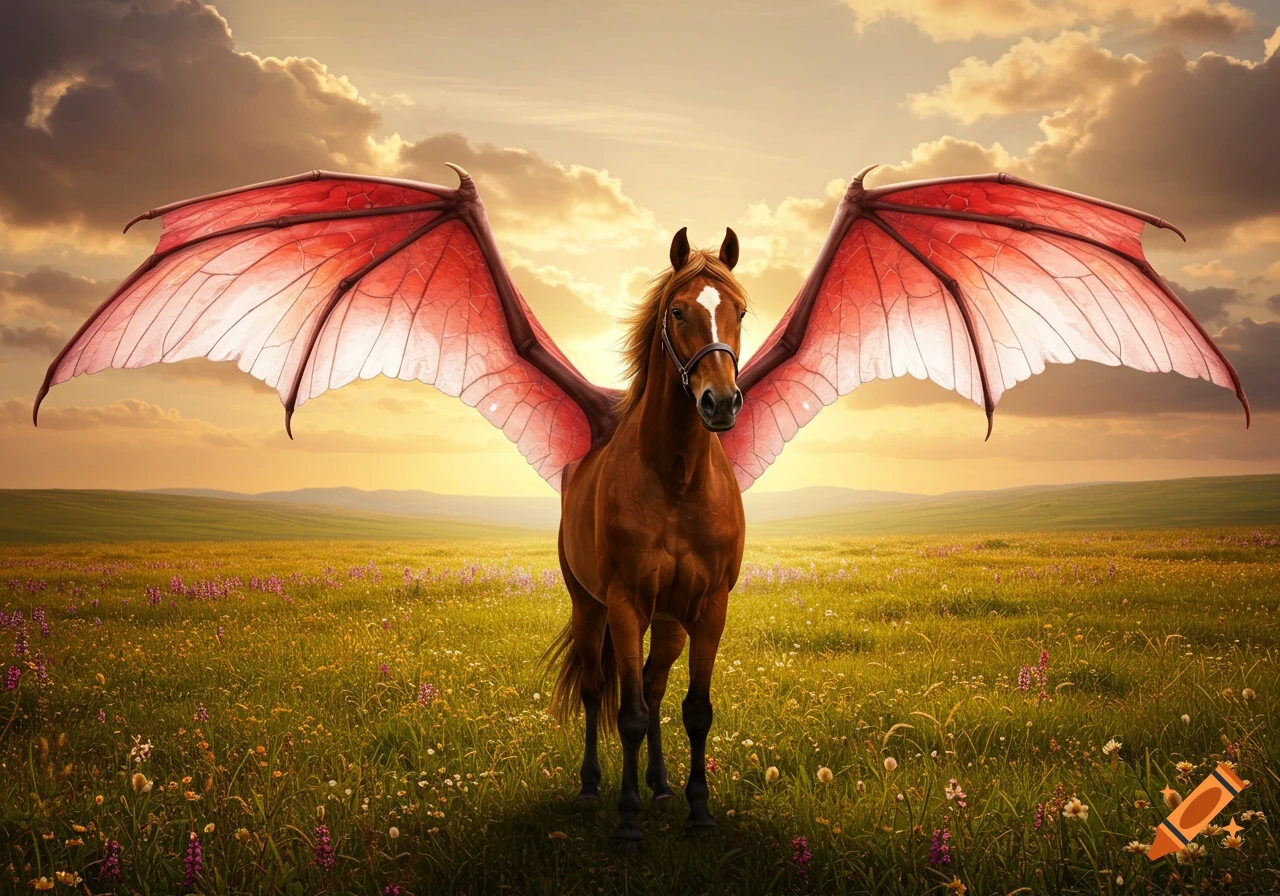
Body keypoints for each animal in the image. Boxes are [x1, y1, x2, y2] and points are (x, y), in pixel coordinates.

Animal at [543, 226, 747, 852]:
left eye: (740, 310)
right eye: (678, 311)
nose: (720, 403)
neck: (676, 475)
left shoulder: (708, 607)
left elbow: (694, 710)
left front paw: (698, 811)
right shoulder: (625, 604)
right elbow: (627, 714)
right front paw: (627, 821)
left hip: (671, 621)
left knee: (656, 689)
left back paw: (661, 786)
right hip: (590, 608)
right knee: (595, 688)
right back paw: (591, 789)